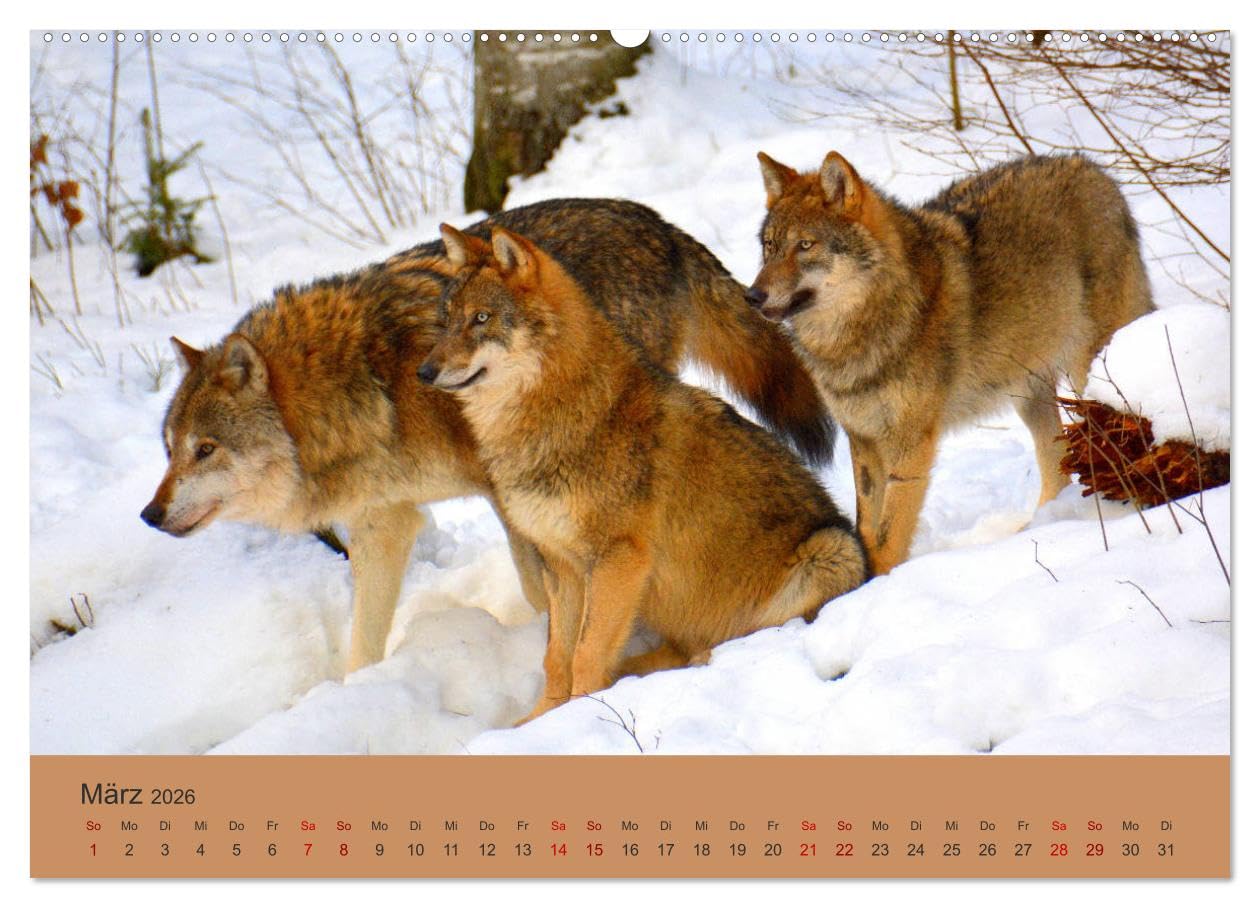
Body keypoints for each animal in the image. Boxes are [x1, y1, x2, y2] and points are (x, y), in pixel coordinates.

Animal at [141, 198, 833, 676]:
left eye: (206, 448)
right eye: (170, 448)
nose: (149, 514)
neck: (368, 384)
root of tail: (654, 221)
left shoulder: (501, 491)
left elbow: (539, 586)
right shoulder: (382, 523)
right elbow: (362, 644)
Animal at [419, 225, 868, 721]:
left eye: (481, 318)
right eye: (446, 319)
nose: (425, 371)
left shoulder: (619, 559)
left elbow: (586, 655)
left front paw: (580, 716)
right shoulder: (562, 567)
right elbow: (556, 657)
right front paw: (540, 721)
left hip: (833, 549)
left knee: (751, 635)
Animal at [747, 152, 1153, 575]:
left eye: (805, 245)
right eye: (770, 246)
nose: (752, 296)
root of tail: (1095, 170)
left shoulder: (911, 446)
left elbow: (889, 537)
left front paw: (883, 582)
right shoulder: (864, 441)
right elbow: (867, 530)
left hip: (1090, 370)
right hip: (1030, 396)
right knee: (1056, 471)